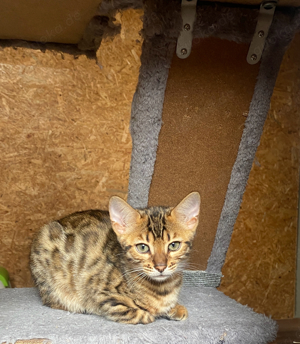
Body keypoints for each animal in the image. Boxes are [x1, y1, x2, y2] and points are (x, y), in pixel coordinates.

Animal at [29, 192, 200, 324]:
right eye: (142, 247)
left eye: (174, 245)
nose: (160, 266)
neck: (163, 288)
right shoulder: (102, 295)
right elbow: (140, 314)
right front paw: (152, 313)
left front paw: (175, 308)